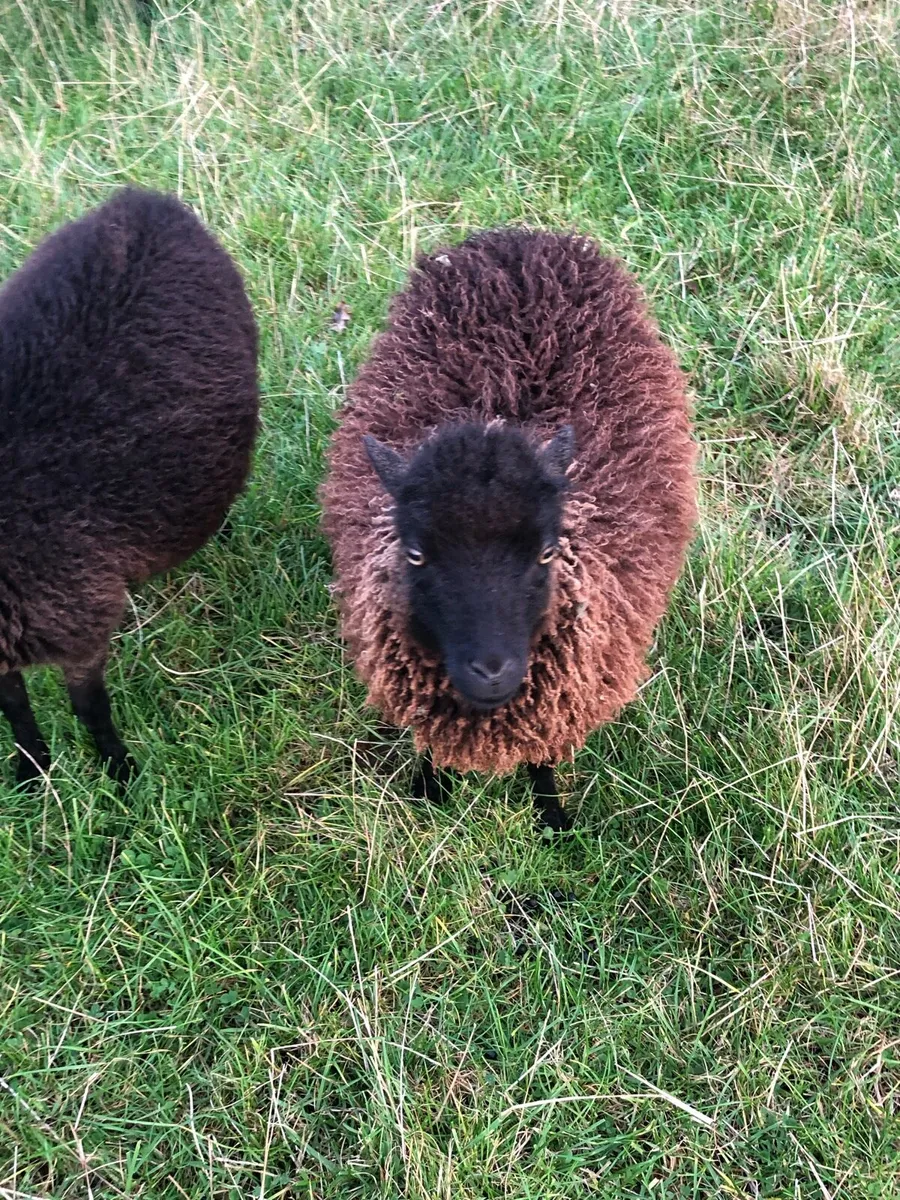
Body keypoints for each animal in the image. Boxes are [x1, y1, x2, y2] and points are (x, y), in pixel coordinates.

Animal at [0, 186, 259, 786]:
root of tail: (142, 201)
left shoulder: (77, 618)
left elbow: (89, 705)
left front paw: (120, 772)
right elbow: (14, 703)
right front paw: (31, 771)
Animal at [320, 228, 697, 831]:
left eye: (546, 552)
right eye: (416, 554)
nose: (491, 672)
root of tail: (522, 237)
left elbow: (542, 758)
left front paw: (553, 819)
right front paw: (429, 793)